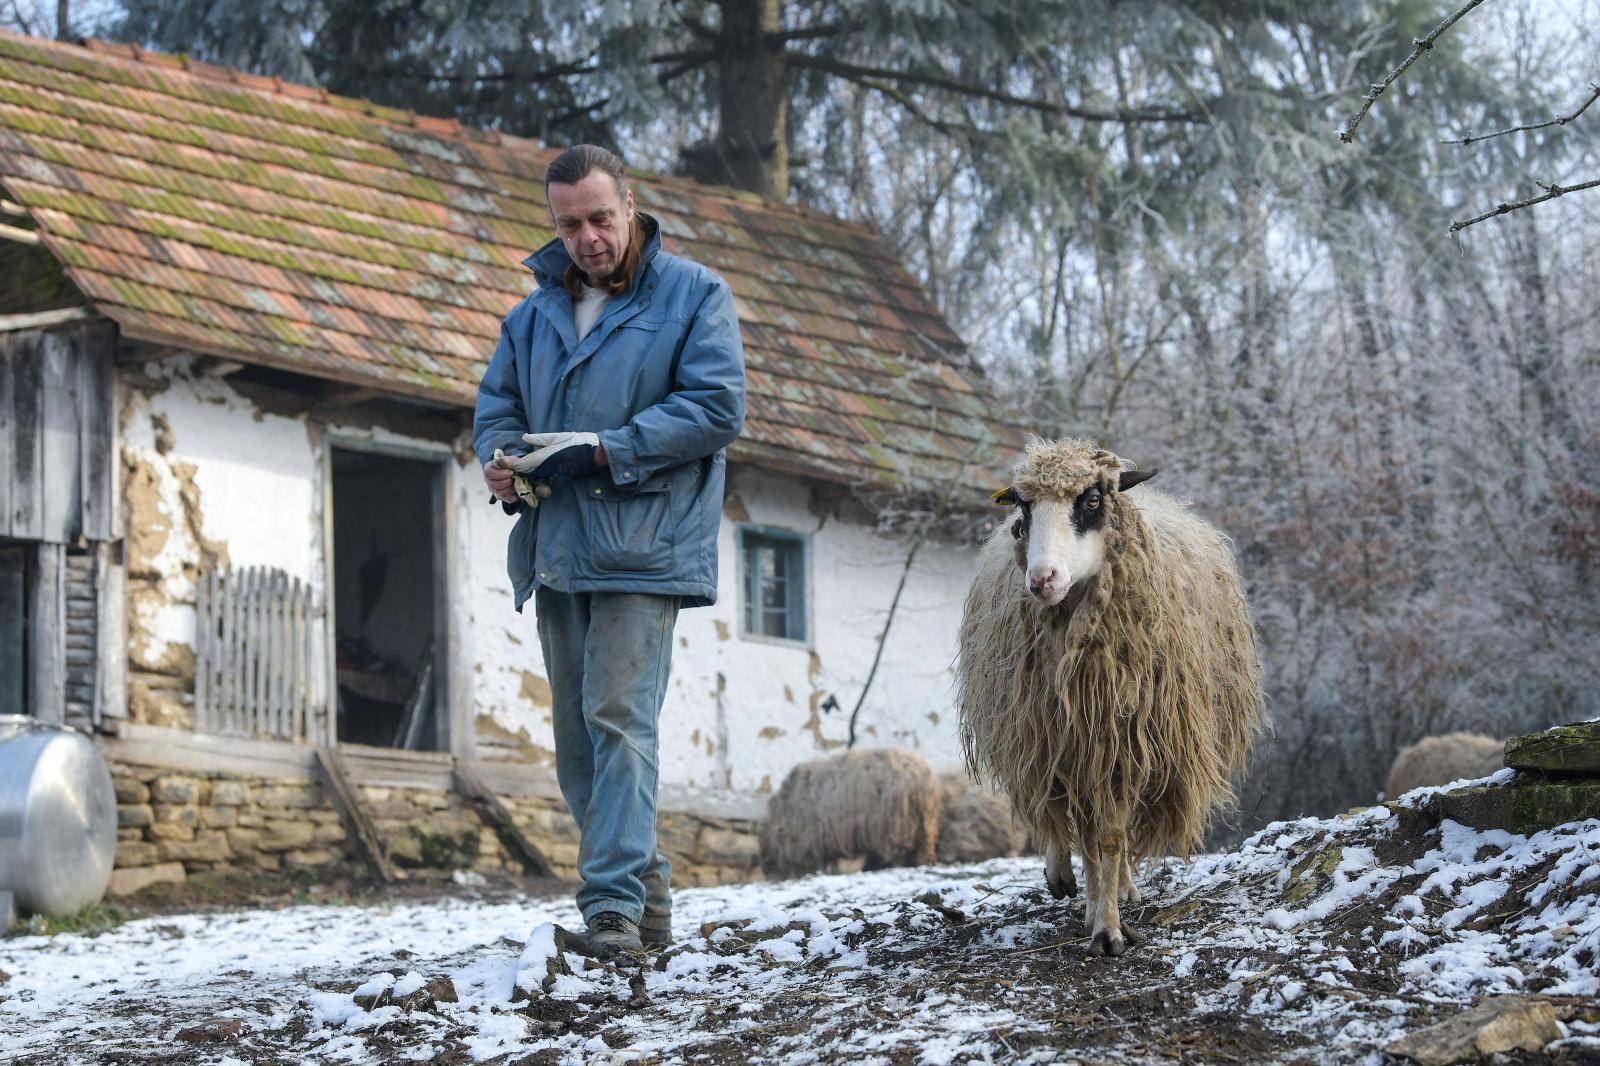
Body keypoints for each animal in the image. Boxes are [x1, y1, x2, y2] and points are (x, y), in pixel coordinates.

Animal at [758, 742, 940, 877]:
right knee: (922, 851)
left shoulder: (815, 839)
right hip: (923, 823)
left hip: (894, 824)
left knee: (896, 853)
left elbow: (822, 863)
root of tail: (922, 776)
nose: (768, 874)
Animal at [953, 435, 1267, 947]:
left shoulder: (1122, 742)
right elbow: (1072, 827)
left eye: (1091, 501)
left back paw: (1119, 891)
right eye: (1023, 507)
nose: (1041, 579)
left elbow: (1112, 838)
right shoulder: (1051, 736)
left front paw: (1109, 929)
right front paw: (1078, 894)